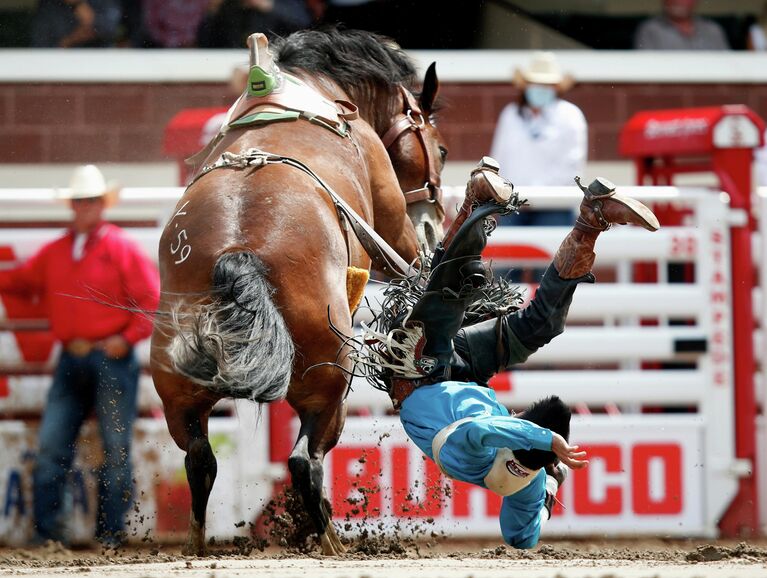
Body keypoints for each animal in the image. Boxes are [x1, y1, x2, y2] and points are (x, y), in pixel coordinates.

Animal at [150, 28, 448, 552]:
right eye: (440, 148)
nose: (434, 225)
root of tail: (239, 251)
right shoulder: (391, 219)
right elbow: (404, 254)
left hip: (177, 392)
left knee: (200, 460)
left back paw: (195, 545)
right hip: (327, 381)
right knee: (305, 460)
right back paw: (328, 538)